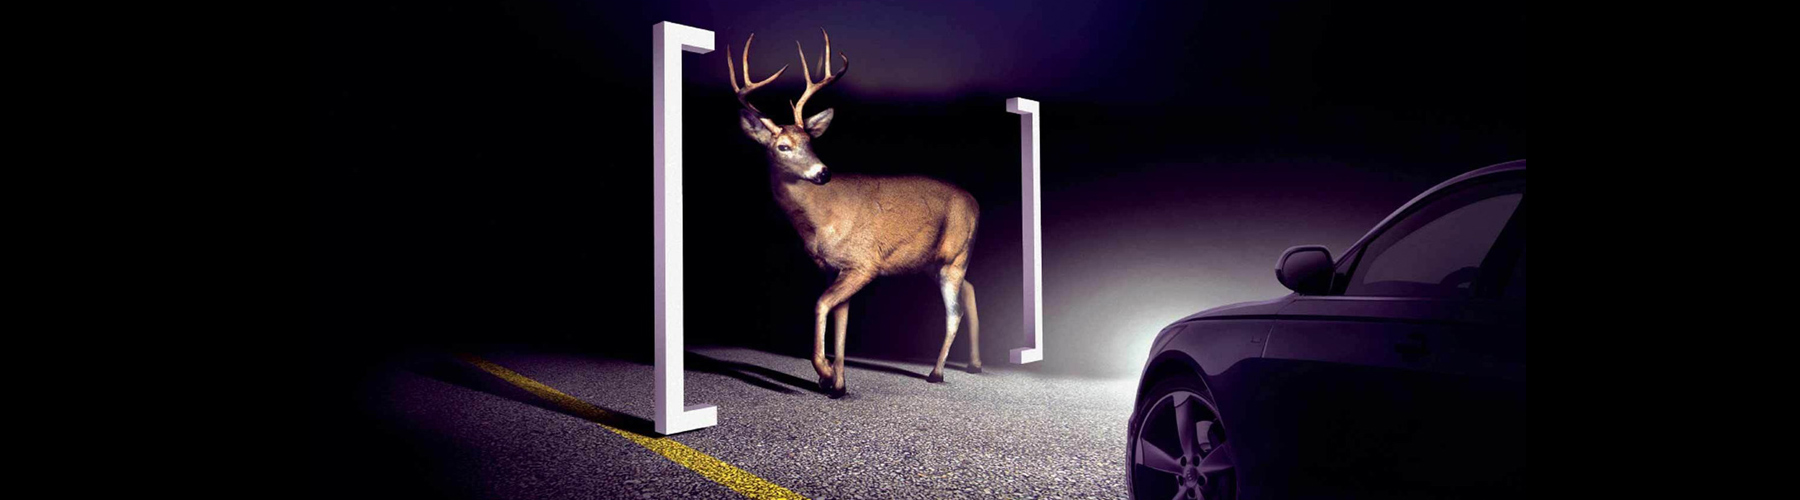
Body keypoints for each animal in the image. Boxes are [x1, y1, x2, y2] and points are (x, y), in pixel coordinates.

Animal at [727, 29, 982, 398]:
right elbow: (840, 320)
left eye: (811, 142)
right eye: (783, 147)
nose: (823, 173)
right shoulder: (832, 268)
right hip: (934, 262)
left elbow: (821, 305)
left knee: (954, 312)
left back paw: (936, 373)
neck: (821, 220)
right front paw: (837, 382)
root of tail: (975, 203)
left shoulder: (863, 264)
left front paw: (824, 371)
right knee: (971, 290)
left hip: (953, 260)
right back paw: (974, 364)